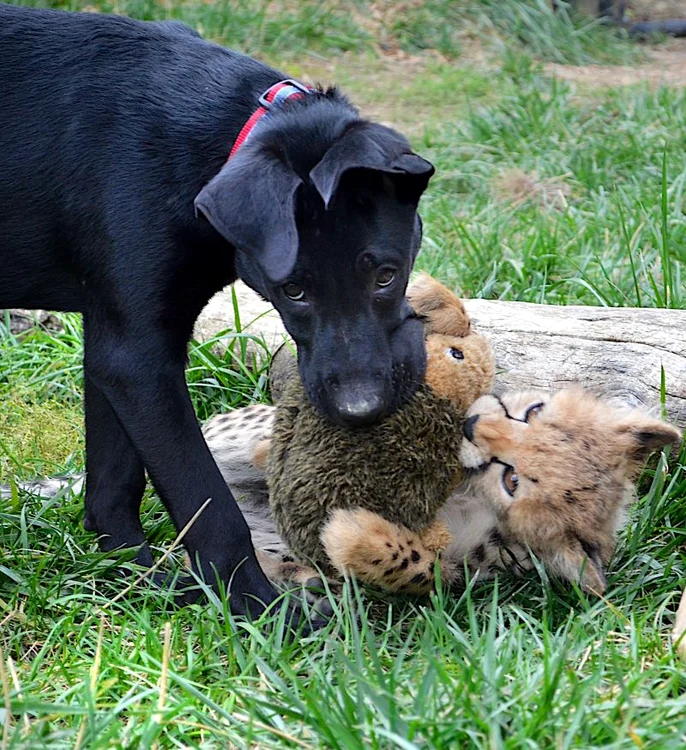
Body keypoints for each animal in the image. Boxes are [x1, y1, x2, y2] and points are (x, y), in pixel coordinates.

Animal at [0, 4, 432, 624]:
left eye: (386, 276)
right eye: (292, 290)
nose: (360, 412)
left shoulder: (115, 343)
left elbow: (112, 491)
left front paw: (139, 579)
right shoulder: (137, 359)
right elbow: (209, 504)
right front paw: (260, 611)